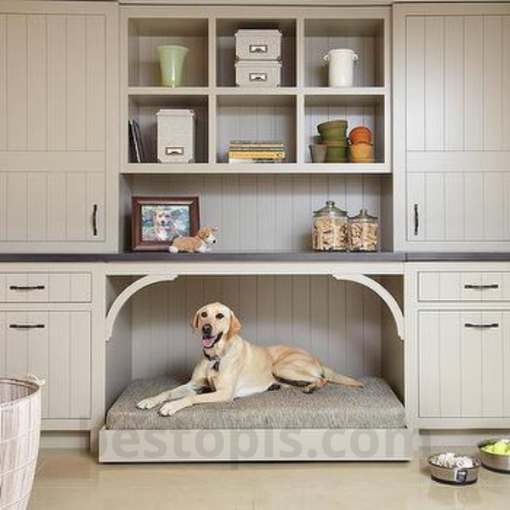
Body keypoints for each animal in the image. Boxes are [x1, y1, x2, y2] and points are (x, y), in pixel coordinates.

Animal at [136, 300, 362, 416]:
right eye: (204, 314)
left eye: (220, 316)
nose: (207, 328)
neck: (215, 358)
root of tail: (315, 357)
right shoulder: (193, 385)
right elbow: (167, 392)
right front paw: (149, 400)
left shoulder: (224, 393)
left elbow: (190, 398)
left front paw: (170, 407)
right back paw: (278, 386)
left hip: (281, 366)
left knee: (322, 379)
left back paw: (311, 387)